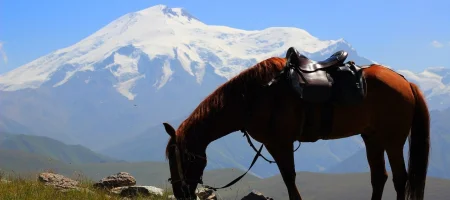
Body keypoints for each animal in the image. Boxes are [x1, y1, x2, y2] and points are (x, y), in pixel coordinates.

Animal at [163, 48, 430, 200]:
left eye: (180, 158)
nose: (179, 193)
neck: (253, 96)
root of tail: (405, 82)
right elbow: (289, 180)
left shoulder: (279, 143)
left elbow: (289, 180)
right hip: (372, 137)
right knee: (379, 177)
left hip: (393, 140)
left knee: (400, 178)